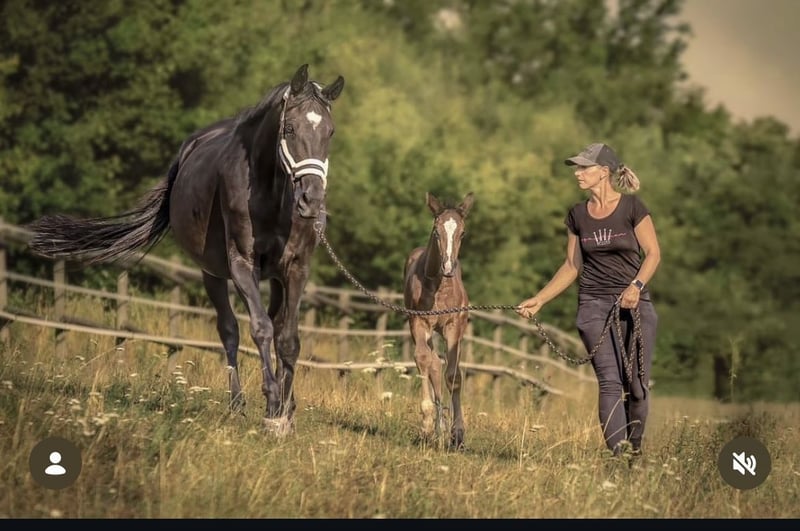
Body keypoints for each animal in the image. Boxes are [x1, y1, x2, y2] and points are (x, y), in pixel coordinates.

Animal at [27, 64, 345, 434]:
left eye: (330, 132)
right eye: (290, 128)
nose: (312, 202)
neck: (272, 193)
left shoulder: (296, 268)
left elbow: (289, 338)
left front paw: (285, 412)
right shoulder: (241, 265)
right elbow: (260, 329)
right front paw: (271, 408)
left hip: (274, 278)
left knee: (275, 324)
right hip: (211, 272)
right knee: (230, 330)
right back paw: (237, 405)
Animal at [403, 191, 474, 449]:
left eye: (462, 232)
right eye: (436, 231)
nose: (448, 267)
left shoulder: (454, 327)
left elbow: (453, 375)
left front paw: (458, 433)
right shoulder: (419, 322)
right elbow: (424, 360)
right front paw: (426, 424)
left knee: (438, 365)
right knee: (431, 363)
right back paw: (436, 425)